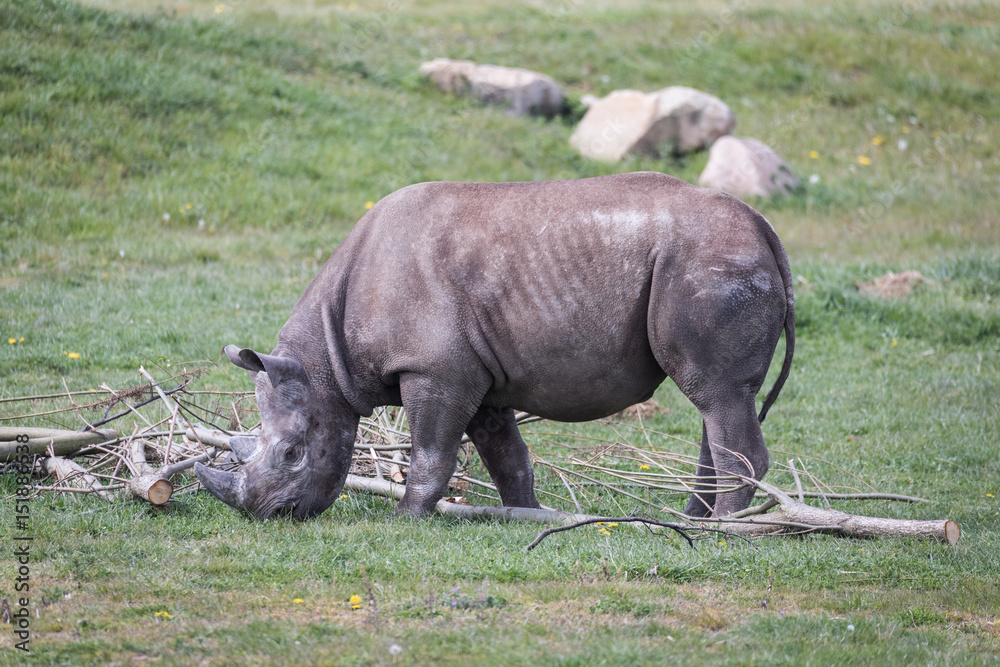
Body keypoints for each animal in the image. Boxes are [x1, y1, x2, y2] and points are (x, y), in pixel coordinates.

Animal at [195, 171, 794, 520]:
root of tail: (761, 223)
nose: (271, 514)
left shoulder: (435, 370)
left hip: (709, 262)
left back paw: (725, 528)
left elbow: (431, 451)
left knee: (716, 393)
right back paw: (692, 518)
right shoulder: (478, 375)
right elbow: (508, 456)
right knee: (719, 399)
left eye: (293, 453)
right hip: (714, 259)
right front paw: (524, 516)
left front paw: (404, 520)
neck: (326, 361)